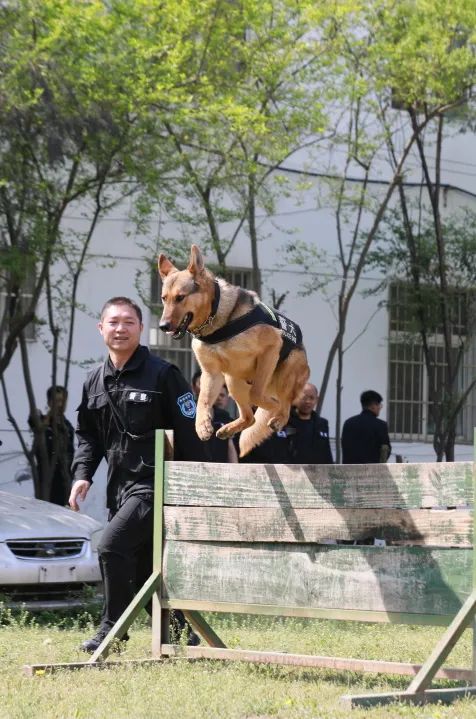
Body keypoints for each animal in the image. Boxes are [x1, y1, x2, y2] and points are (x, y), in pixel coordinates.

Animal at [158, 245, 310, 458]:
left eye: (180, 297)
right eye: (164, 299)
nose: (162, 326)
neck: (215, 320)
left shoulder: (271, 348)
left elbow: (256, 394)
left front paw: (273, 408)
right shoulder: (211, 374)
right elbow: (202, 401)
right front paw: (202, 425)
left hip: (284, 373)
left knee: (284, 405)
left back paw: (278, 416)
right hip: (232, 381)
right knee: (250, 417)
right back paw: (228, 429)